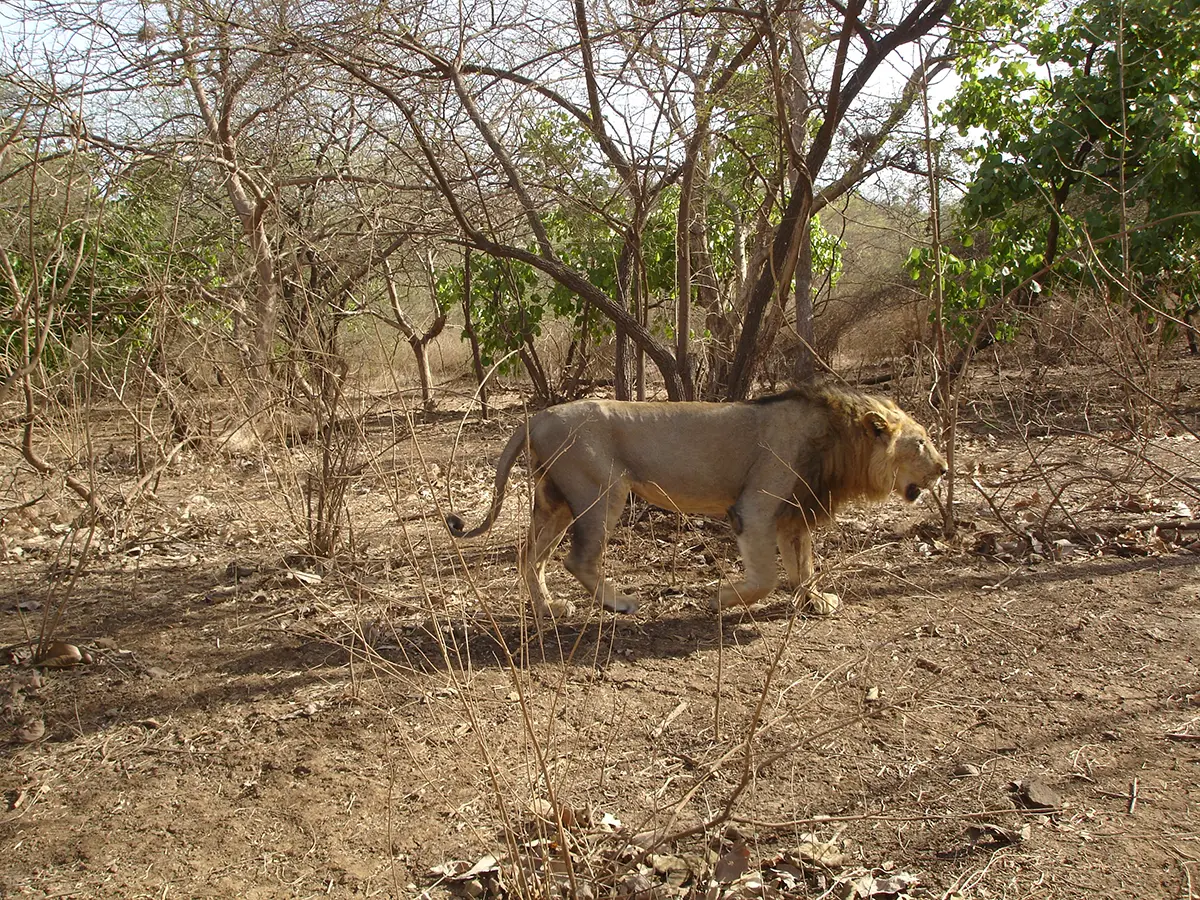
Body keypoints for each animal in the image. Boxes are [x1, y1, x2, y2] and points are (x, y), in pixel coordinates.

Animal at [444, 384, 945, 624]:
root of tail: (537, 417)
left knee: (530, 554)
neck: (839, 439)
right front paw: (719, 598)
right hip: (602, 491)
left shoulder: (795, 513)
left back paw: (549, 610)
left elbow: (803, 564)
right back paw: (620, 604)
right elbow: (766, 576)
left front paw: (814, 600)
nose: (943, 469)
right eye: (920, 442)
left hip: (556, 503)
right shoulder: (754, 508)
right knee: (577, 559)